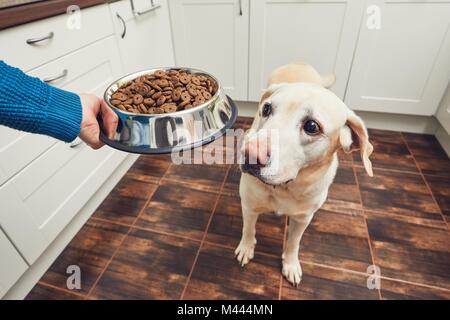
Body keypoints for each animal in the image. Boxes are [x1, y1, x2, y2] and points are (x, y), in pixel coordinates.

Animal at [236, 62, 372, 284]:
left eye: (311, 126)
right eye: (266, 109)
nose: (250, 155)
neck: (285, 187)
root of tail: (299, 62)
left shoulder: (303, 219)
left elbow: (294, 243)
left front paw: (291, 264)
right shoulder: (249, 206)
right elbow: (248, 230)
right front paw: (246, 248)